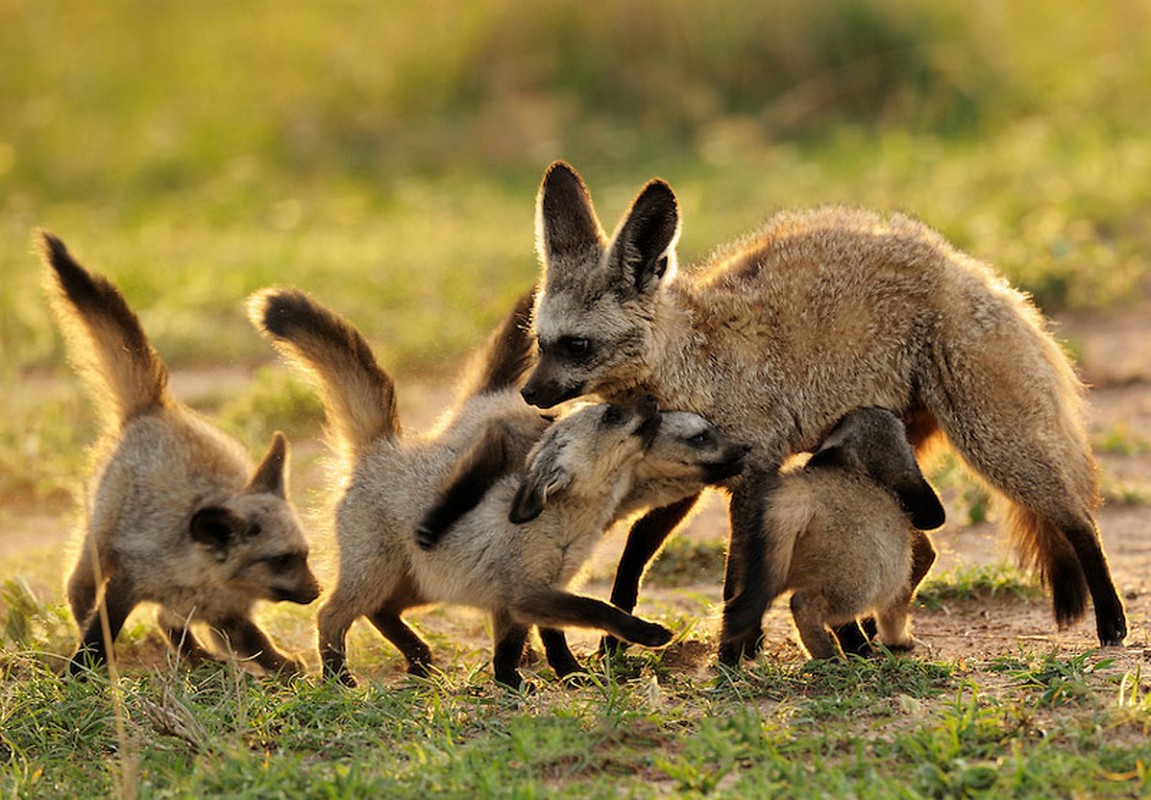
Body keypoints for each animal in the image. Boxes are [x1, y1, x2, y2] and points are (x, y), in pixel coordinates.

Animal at [520, 160, 1123, 658]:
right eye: (540, 342)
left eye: (577, 346)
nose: (528, 394)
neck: (700, 366)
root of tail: (979, 273)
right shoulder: (700, 475)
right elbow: (637, 551)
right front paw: (617, 643)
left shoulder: (753, 474)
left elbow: (737, 572)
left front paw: (734, 653)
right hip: (892, 454)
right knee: (924, 546)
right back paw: (868, 634)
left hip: (989, 440)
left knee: (1077, 518)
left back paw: (1112, 623)